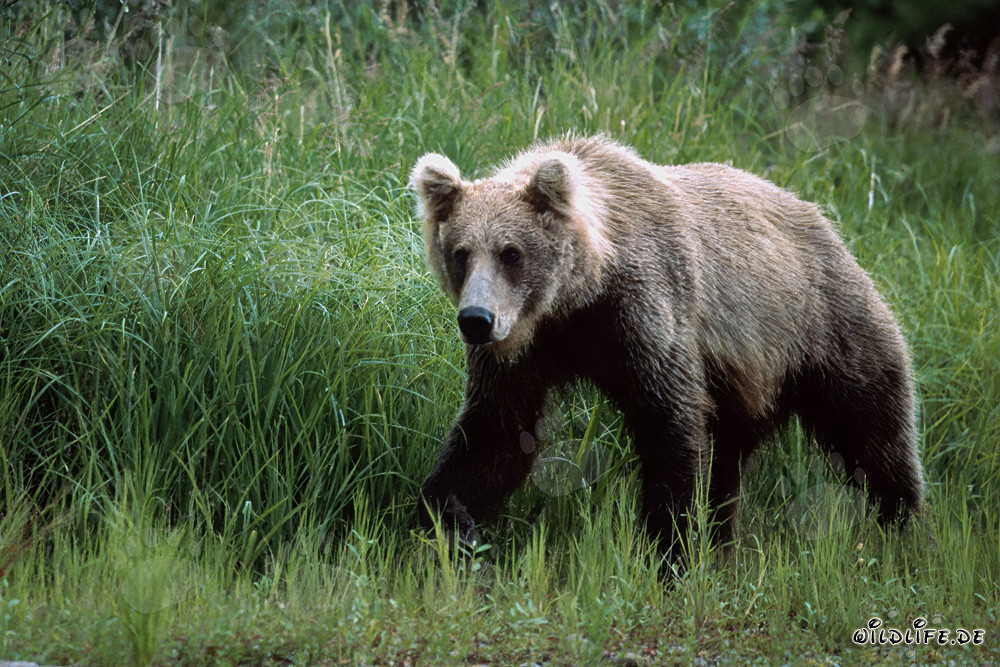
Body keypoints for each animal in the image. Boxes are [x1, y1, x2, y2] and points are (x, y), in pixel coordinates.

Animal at [410, 134, 923, 555]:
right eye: (460, 253)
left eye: (511, 252)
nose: (477, 320)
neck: (578, 296)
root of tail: (828, 224)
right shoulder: (531, 348)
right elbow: (496, 434)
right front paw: (446, 518)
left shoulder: (646, 314)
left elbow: (670, 426)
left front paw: (668, 547)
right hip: (746, 385)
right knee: (728, 464)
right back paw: (722, 543)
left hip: (825, 330)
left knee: (873, 434)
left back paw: (906, 528)